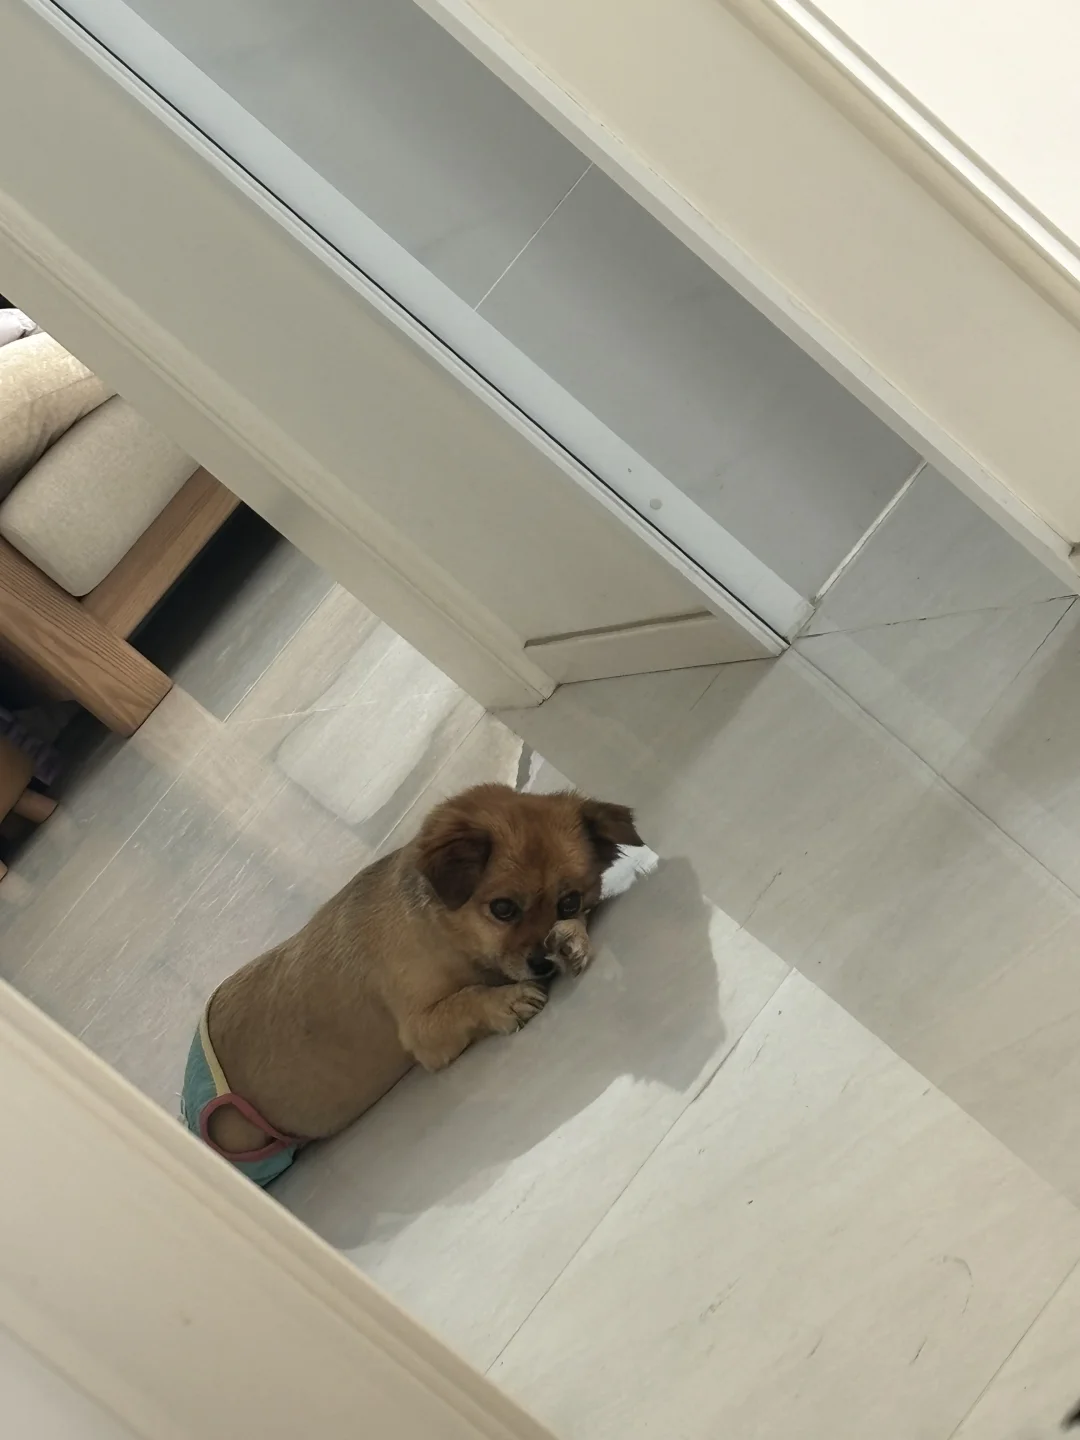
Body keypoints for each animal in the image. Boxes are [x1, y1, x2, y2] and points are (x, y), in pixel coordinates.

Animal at [181, 783, 642, 1184]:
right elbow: (468, 998)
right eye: (503, 908)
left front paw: (572, 939)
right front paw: (505, 1001)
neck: (450, 936)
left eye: (570, 901)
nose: (543, 962)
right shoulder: (423, 1030)